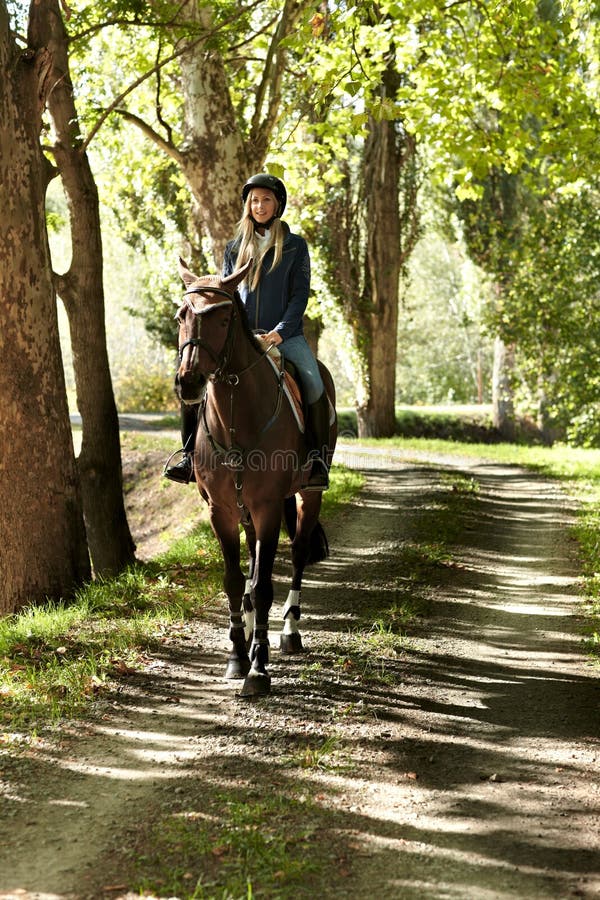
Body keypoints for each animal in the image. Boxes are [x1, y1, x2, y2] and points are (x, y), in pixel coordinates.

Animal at [175, 256, 338, 700]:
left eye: (223, 316)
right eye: (182, 315)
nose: (188, 381)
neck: (236, 414)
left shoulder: (266, 507)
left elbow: (264, 585)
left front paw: (259, 669)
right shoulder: (222, 510)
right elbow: (235, 580)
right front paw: (237, 655)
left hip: (306, 496)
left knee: (297, 555)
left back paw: (289, 632)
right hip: (244, 509)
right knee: (251, 564)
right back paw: (248, 633)